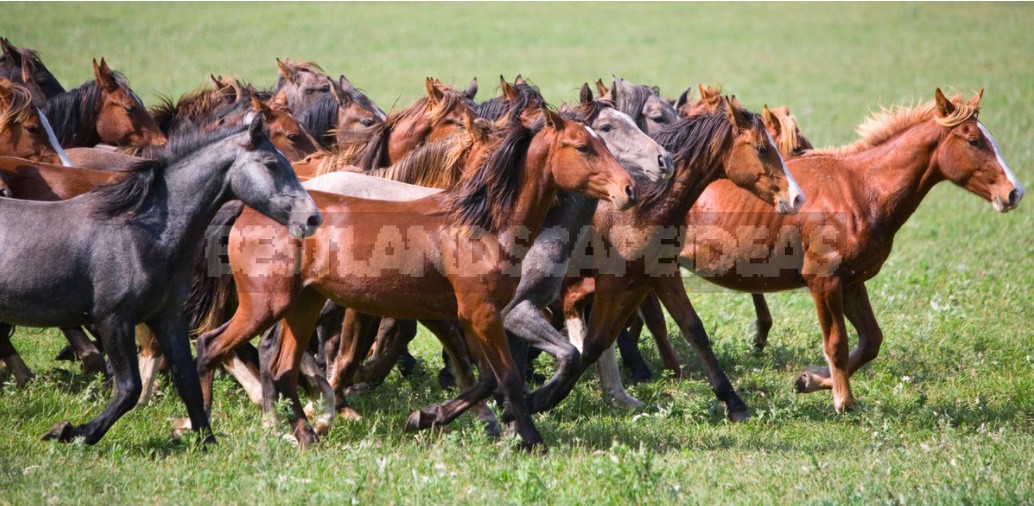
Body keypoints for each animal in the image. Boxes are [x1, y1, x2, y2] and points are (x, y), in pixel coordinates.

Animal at [0, 115, 318, 442]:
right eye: (271, 164)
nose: (312, 218)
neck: (142, 234)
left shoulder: (166, 317)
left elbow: (188, 381)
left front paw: (205, 439)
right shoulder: (113, 319)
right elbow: (130, 389)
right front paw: (75, 432)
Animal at [190, 108, 632, 447]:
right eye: (583, 146)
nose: (628, 189)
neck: (482, 226)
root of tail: (246, 210)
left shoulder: (473, 316)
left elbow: (487, 379)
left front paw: (425, 417)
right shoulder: (485, 314)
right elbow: (508, 378)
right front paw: (531, 439)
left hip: (303, 304)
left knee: (281, 368)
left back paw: (306, 435)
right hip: (265, 304)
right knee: (211, 345)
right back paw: (205, 432)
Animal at [674, 87, 1021, 409]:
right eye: (974, 141)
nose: (1014, 192)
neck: (859, 190)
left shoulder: (852, 282)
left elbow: (870, 341)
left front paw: (811, 379)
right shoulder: (823, 281)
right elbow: (836, 343)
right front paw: (844, 400)